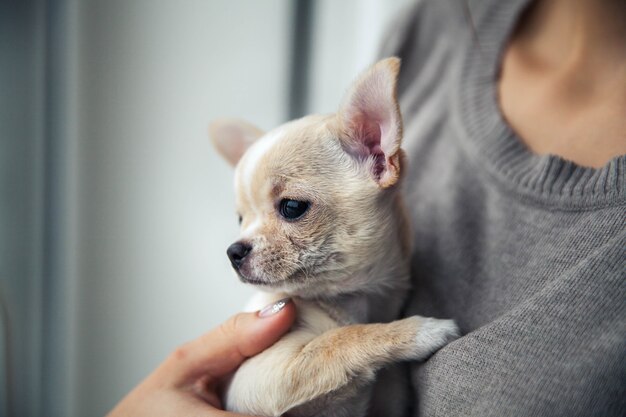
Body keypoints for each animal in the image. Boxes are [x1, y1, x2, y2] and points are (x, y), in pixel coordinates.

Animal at [210, 57, 458, 416]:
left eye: (292, 207)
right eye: (241, 219)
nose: (234, 251)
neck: (350, 300)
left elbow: (338, 339)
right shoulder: (260, 375)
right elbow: (342, 338)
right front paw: (420, 331)